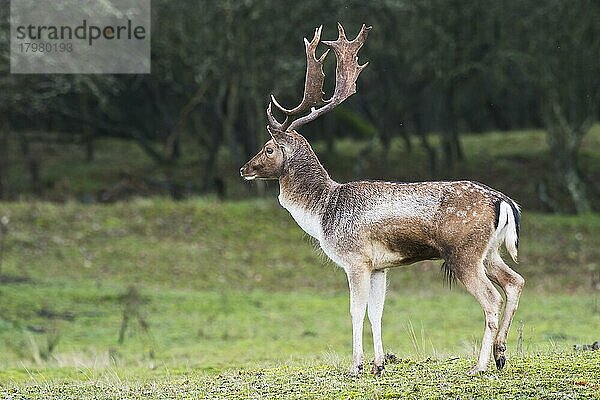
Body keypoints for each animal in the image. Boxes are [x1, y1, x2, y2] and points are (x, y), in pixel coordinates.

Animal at [240, 24, 524, 376]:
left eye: (268, 148)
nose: (244, 169)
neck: (322, 211)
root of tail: (503, 202)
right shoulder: (380, 267)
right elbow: (377, 311)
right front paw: (378, 364)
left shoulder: (355, 259)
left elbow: (355, 310)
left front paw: (356, 366)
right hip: (491, 251)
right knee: (515, 281)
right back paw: (500, 354)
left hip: (464, 253)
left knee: (492, 298)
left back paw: (480, 366)